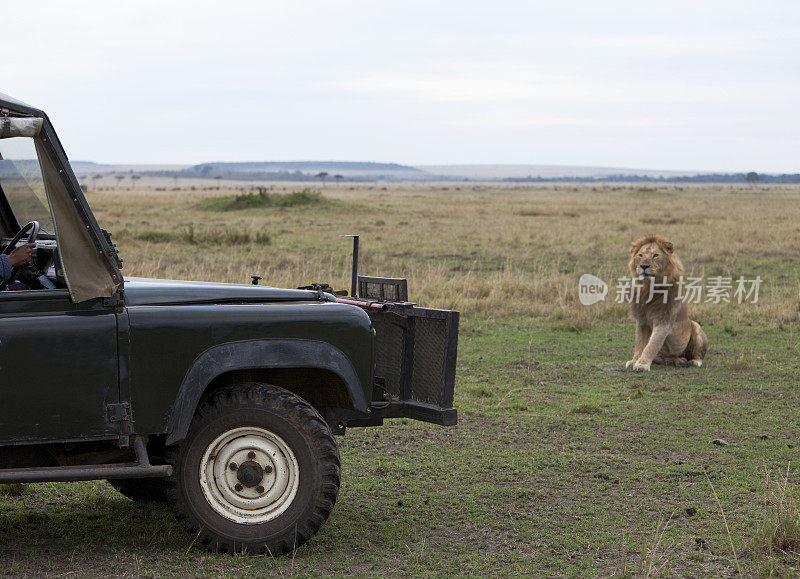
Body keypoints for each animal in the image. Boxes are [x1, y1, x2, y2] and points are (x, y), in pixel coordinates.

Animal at [624, 234, 708, 372]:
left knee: (698, 354)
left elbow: (651, 345)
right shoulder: (641, 321)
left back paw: (693, 362)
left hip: (696, 326)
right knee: (664, 358)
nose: (643, 266)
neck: (649, 288)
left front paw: (642, 365)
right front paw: (634, 361)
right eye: (640, 255)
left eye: (655, 255)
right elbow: (640, 343)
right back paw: (679, 361)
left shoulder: (664, 321)